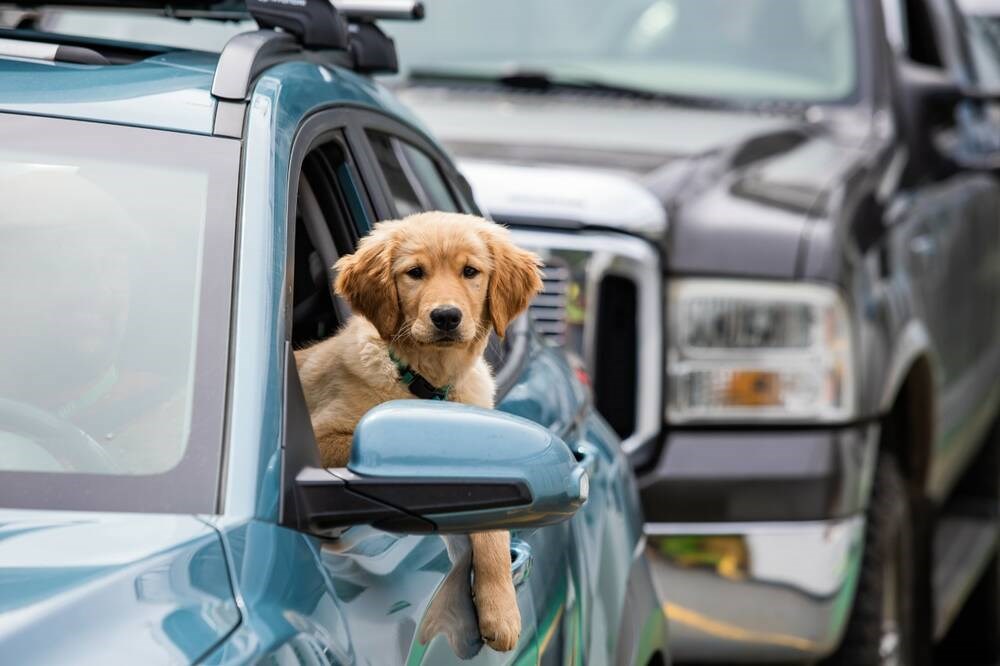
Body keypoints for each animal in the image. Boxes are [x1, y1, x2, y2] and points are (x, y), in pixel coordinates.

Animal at [292, 211, 544, 648]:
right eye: (415, 273)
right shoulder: (322, 437)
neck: (427, 380)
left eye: (470, 272)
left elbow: (494, 528)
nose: (446, 317)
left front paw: (501, 610)